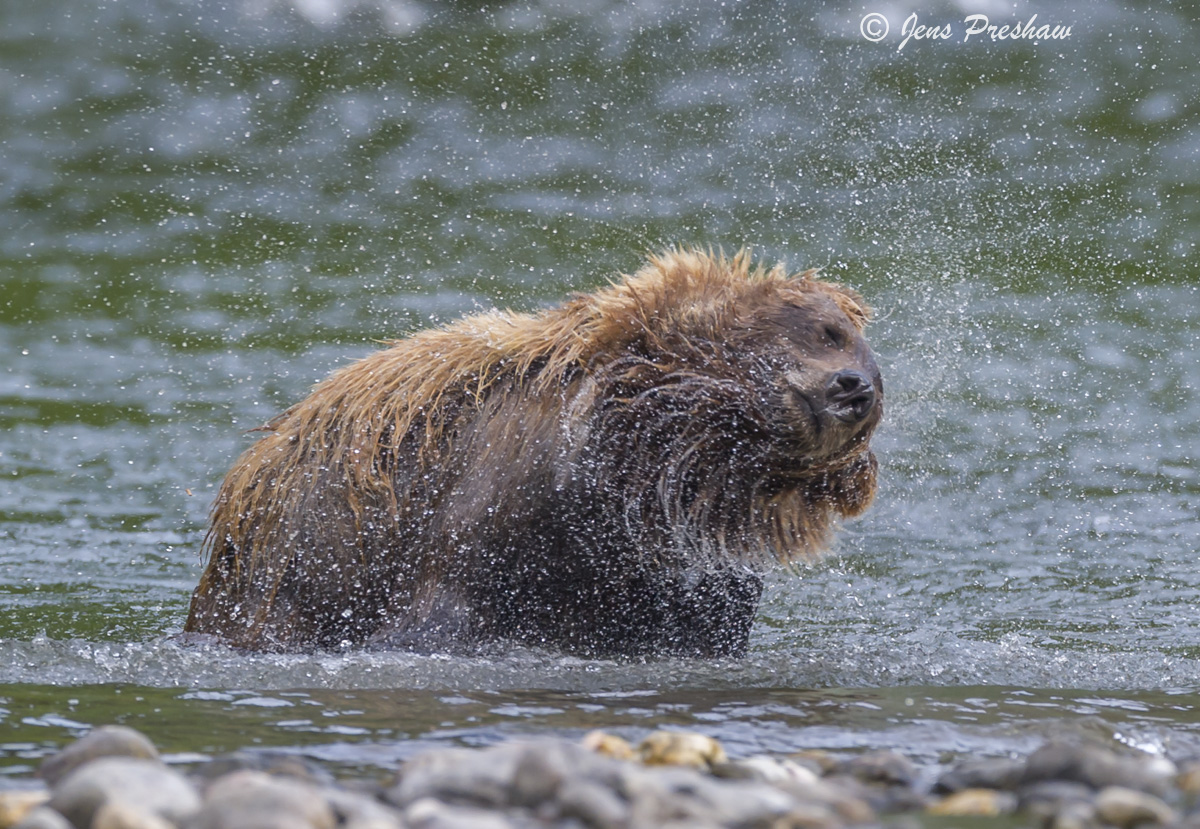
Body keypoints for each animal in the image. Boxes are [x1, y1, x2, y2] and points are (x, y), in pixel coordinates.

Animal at [184, 249, 883, 657]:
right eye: (827, 333)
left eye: (859, 351)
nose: (857, 389)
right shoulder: (487, 509)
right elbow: (444, 607)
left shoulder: (666, 562)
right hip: (282, 574)